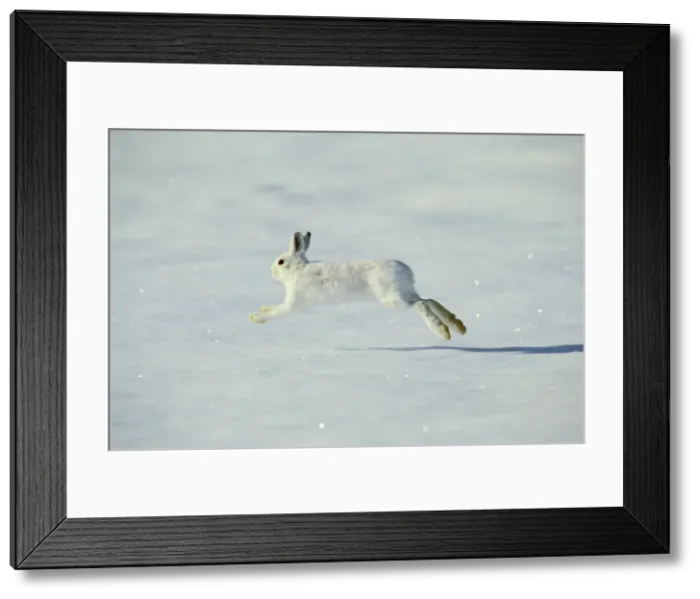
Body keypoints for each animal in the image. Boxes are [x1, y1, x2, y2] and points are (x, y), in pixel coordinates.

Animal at [248, 231, 467, 340]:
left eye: (281, 262)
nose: (270, 271)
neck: (298, 270)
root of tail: (406, 271)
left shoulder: (292, 304)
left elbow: (277, 312)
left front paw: (256, 317)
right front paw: (262, 308)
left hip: (391, 298)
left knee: (421, 305)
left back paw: (442, 331)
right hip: (405, 293)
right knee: (428, 300)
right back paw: (457, 326)